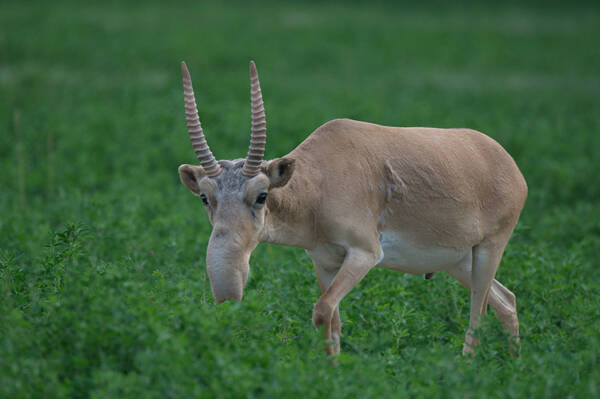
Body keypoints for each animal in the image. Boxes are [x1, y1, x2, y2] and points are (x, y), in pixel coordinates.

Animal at [177, 60, 524, 356]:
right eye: (205, 197)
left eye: (261, 195)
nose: (227, 290)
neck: (316, 187)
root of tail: (509, 164)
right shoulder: (323, 260)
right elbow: (333, 322)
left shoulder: (364, 253)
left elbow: (321, 310)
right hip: (458, 259)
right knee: (506, 301)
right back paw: (514, 365)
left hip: (490, 248)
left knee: (478, 312)